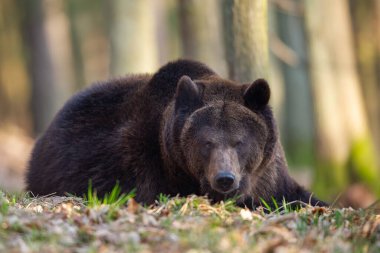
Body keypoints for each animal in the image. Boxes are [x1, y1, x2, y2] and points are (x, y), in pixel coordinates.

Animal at [26, 59, 326, 210]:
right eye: (206, 142)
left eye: (239, 142)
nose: (225, 178)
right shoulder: (144, 166)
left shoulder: (270, 176)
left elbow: (297, 195)